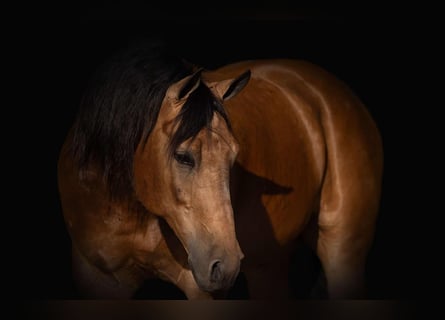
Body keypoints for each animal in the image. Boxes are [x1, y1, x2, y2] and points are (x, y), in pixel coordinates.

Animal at [56, 42, 382, 300]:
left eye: (234, 156)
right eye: (183, 156)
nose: (224, 265)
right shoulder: (100, 282)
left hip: (342, 253)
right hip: (269, 264)